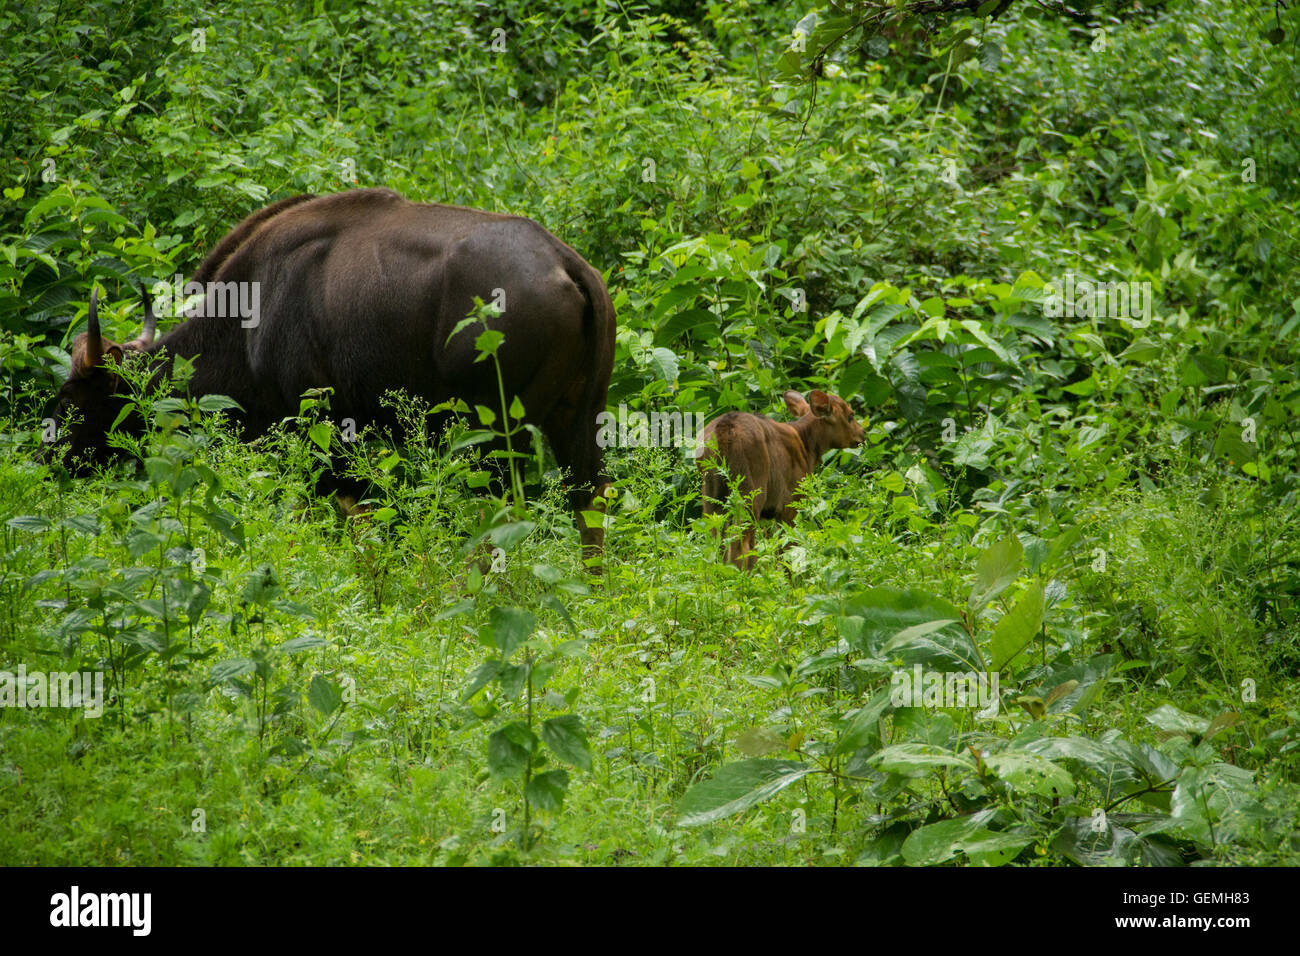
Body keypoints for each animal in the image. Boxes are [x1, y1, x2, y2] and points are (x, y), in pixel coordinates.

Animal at [53, 188, 616, 566]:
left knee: (497, 513)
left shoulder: (324, 436)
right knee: (588, 502)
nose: (46, 458)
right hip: (578, 421)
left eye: (76, 400)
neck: (252, 315)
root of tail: (567, 264)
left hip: (495, 434)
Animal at [696, 390, 865, 568]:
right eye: (850, 415)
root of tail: (722, 432)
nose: (863, 434)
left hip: (711, 494)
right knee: (740, 545)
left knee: (713, 543)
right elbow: (789, 551)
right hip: (750, 491)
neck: (807, 447)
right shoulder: (790, 503)